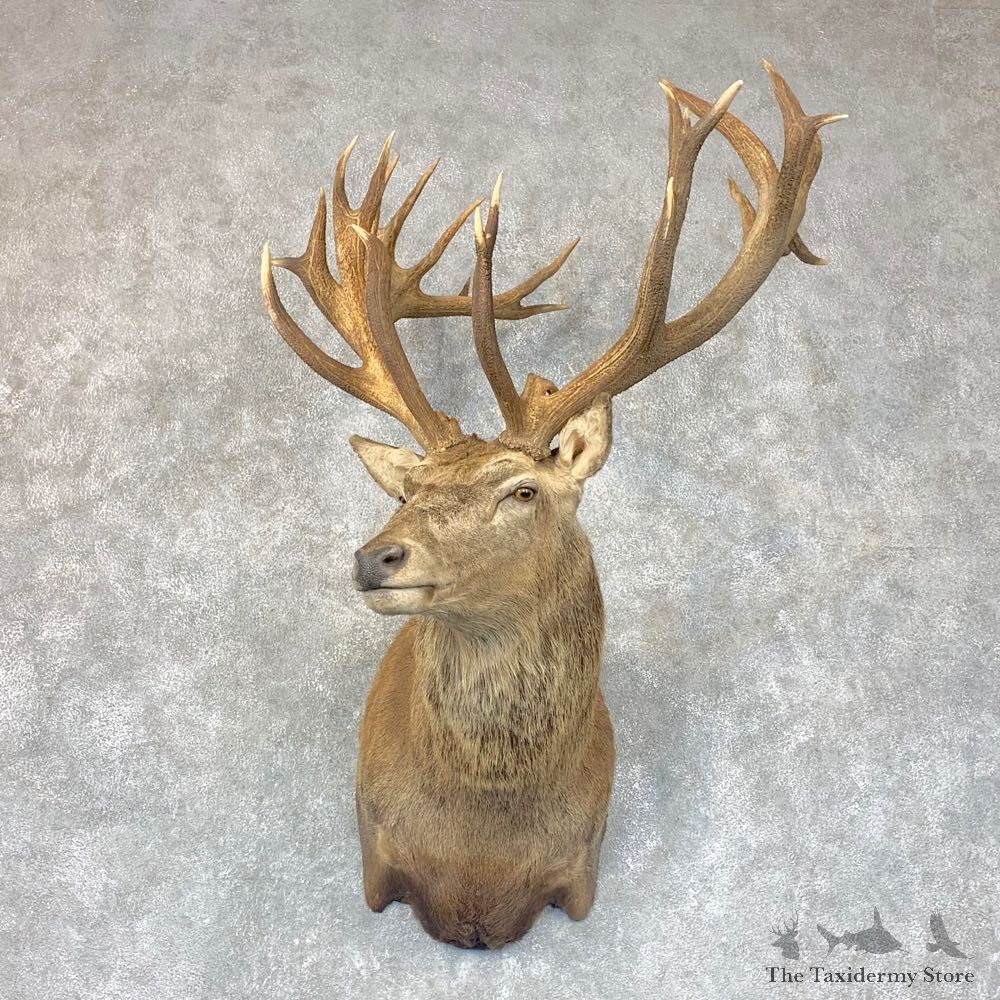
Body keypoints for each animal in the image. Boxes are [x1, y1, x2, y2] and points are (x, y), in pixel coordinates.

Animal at [261, 62, 844, 950]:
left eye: (523, 489)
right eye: (407, 489)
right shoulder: (376, 858)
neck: (479, 856)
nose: (375, 555)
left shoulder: (581, 867)